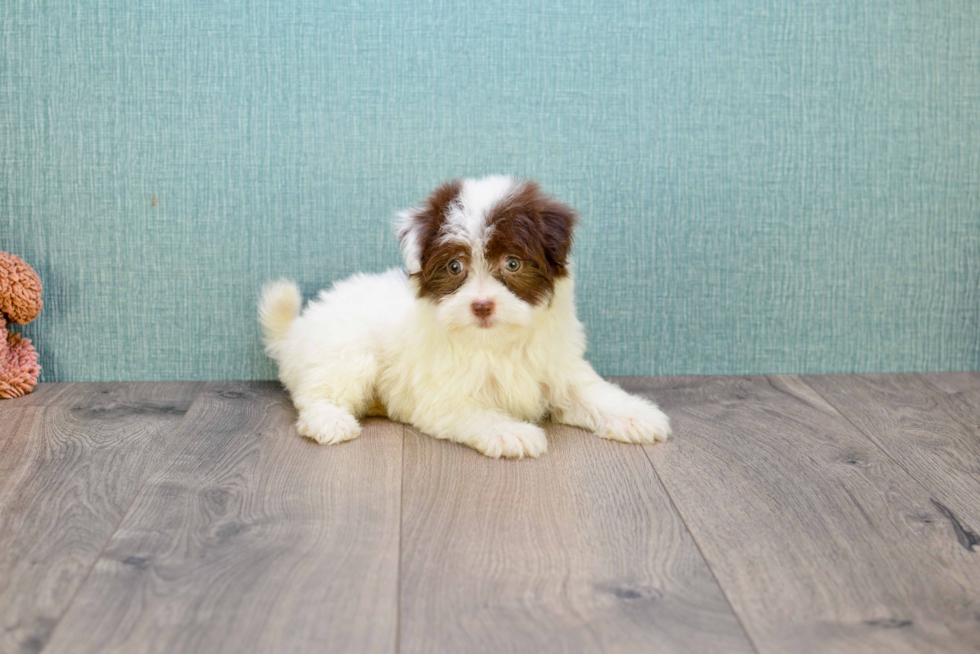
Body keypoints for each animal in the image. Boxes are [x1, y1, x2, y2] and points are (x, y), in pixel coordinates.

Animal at [258, 177, 672, 458]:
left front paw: (635, 416)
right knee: (317, 394)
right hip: (344, 351)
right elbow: (477, 412)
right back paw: (330, 421)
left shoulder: (557, 367)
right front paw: (512, 433)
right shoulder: (442, 394)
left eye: (512, 263)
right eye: (455, 266)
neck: (495, 340)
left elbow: (591, 392)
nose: (482, 305)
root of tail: (295, 331)